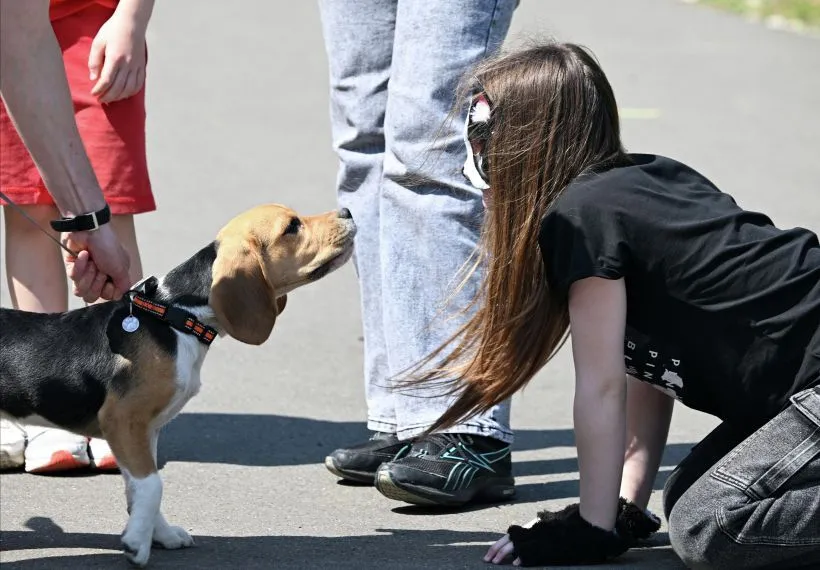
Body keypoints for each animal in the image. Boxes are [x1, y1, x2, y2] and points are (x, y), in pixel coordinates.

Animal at [0, 203, 356, 564]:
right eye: (291, 227)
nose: (347, 211)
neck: (178, 316)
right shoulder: (123, 420)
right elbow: (152, 486)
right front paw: (136, 544)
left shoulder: (144, 431)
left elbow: (141, 488)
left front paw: (160, 534)